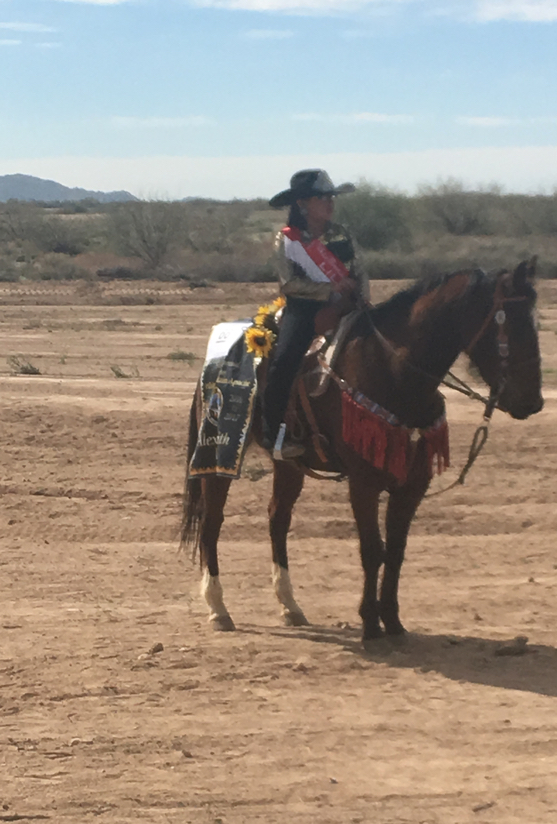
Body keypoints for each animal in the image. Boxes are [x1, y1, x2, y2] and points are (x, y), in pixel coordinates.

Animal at [181, 259, 543, 646]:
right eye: (510, 324)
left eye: (534, 322)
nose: (532, 402)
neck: (395, 372)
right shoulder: (364, 483)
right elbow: (372, 549)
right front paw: (370, 623)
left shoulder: (412, 485)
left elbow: (395, 551)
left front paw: (394, 621)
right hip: (218, 454)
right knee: (212, 522)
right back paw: (218, 608)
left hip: (289, 465)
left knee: (277, 519)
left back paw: (290, 605)